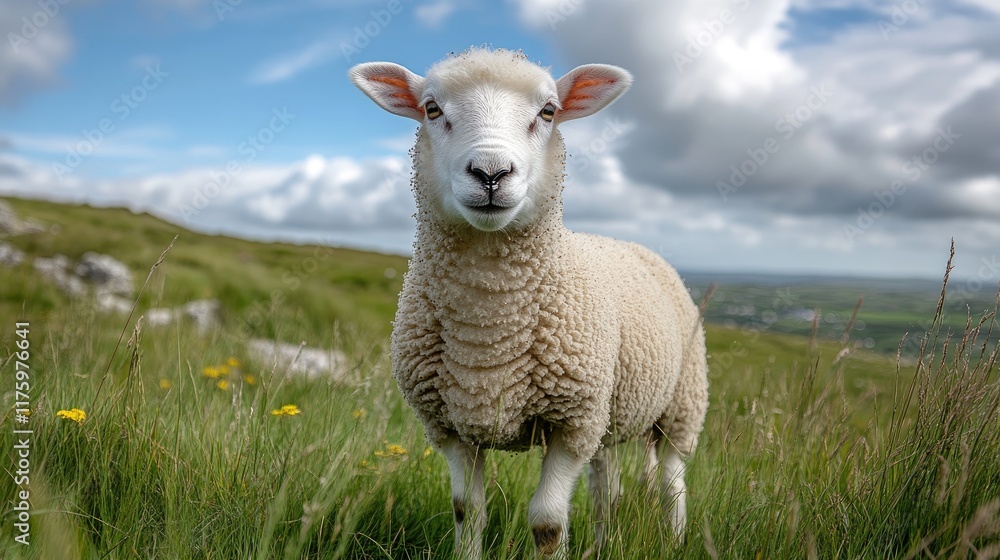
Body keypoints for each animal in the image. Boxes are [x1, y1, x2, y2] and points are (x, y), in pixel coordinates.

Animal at [350, 48, 709, 559]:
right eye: (432, 109)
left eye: (548, 111)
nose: (491, 173)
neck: (487, 324)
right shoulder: (451, 427)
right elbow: (467, 510)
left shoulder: (572, 424)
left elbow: (547, 524)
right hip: (608, 411)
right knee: (607, 487)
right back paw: (603, 541)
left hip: (681, 401)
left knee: (673, 482)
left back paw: (676, 538)